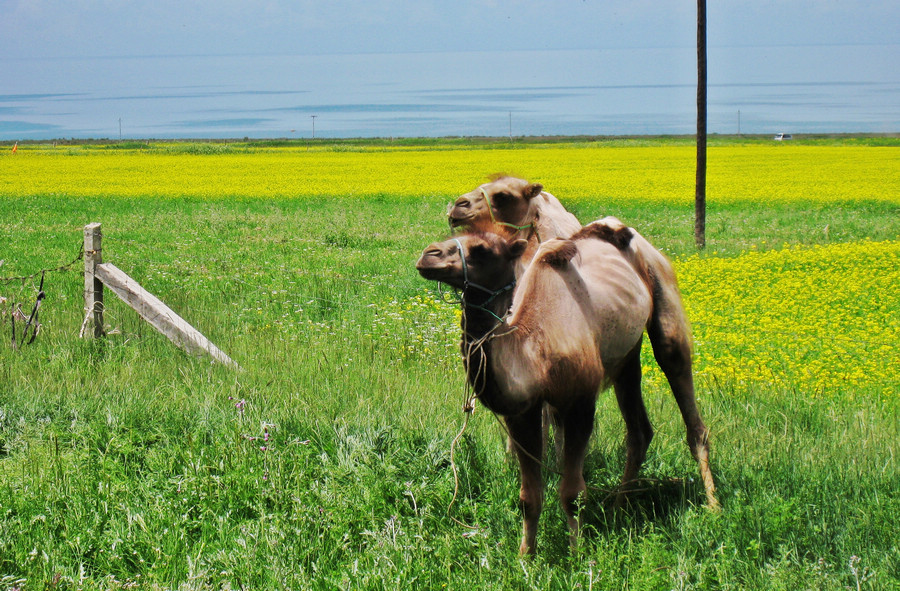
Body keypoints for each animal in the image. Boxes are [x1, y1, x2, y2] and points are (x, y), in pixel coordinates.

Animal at [418, 222, 712, 556]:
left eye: (482, 250)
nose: (428, 255)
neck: (535, 348)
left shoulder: (580, 403)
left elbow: (573, 493)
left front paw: (577, 554)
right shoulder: (522, 412)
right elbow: (528, 496)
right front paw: (526, 557)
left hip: (664, 299)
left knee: (681, 383)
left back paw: (714, 507)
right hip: (626, 355)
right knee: (639, 430)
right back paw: (618, 508)